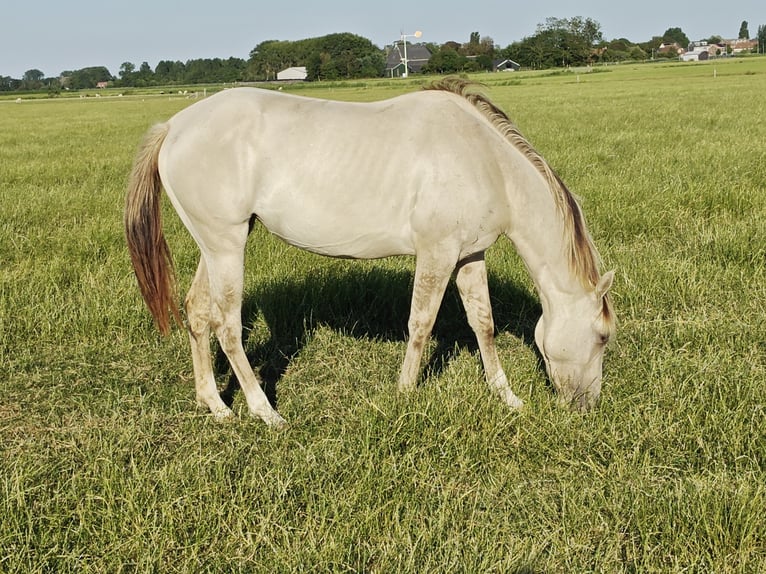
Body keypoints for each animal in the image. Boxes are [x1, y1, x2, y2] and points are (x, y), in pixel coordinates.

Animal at [125, 79, 615, 427]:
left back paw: (216, 406)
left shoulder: (469, 257)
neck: (484, 159)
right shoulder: (436, 254)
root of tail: (174, 127)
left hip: (215, 245)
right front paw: (405, 395)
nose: (586, 407)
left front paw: (507, 398)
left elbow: (484, 326)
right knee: (226, 325)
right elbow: (421, 325)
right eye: (603, 336)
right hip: (227, 247)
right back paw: (266, 413)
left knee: (196, 311)